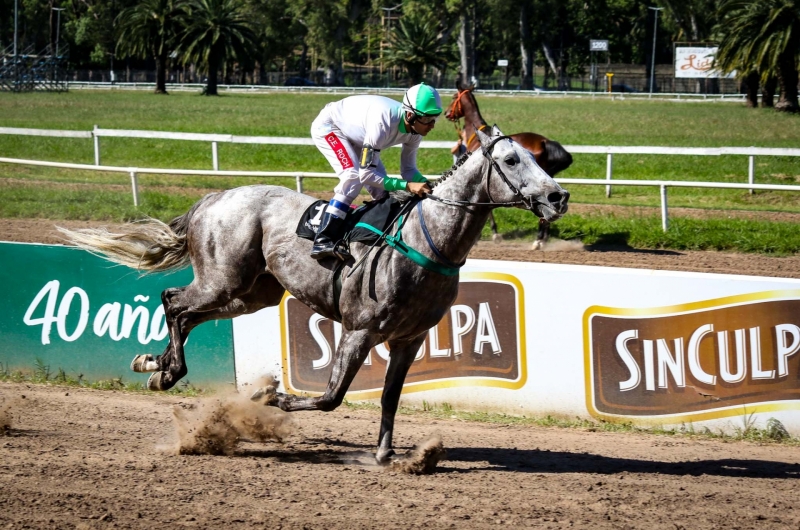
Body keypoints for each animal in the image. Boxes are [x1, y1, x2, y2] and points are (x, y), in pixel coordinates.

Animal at [62, 125, 564, 462]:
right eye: (514, 161)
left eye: (539, 157)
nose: (558, 197)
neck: (427, 243)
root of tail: (215, 197)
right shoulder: (360, 330)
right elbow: (331, 396)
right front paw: (271, 398)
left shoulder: (409, 338)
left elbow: (389, 398)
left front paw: (387, 455)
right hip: (223, 280)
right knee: (173, 300)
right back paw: (167, 370)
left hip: (251, 295)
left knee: (185, 313)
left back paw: (157, 366)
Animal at [446, 84, 572, 248]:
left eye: (454, 96)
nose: (447, 113)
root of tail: (545, 142)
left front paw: (492, 234)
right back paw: (543, 239)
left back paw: (538, 240)